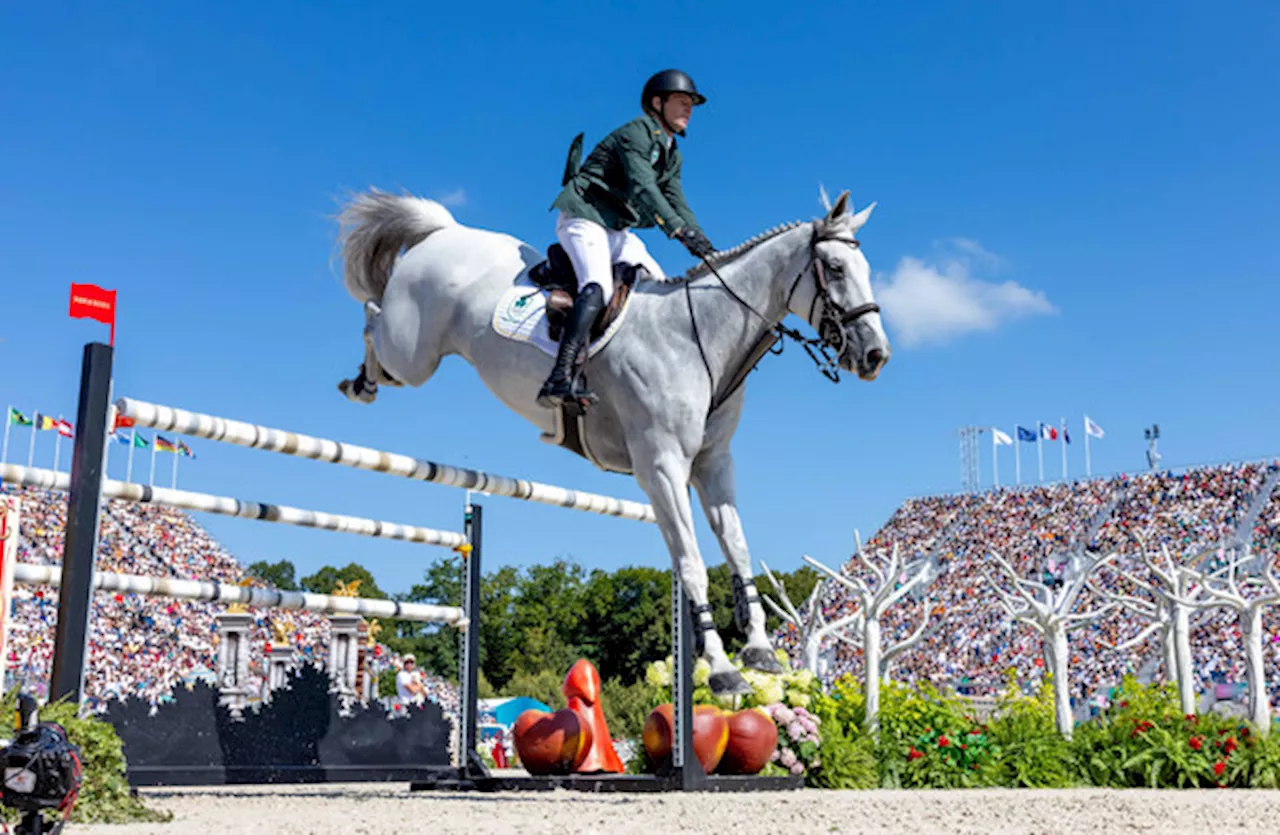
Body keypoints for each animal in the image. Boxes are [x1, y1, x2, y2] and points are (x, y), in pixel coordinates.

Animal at [332, 189, 890, 696]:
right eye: (835, 267)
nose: (876, 356)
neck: (701, 338)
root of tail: (446, 230)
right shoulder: (662, 467)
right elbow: (692, 563)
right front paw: (722, 669)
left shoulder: (713, 464)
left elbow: (737, 547)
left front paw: (759, 651)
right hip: (412, 353)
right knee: (372, 316)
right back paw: (358, 383)